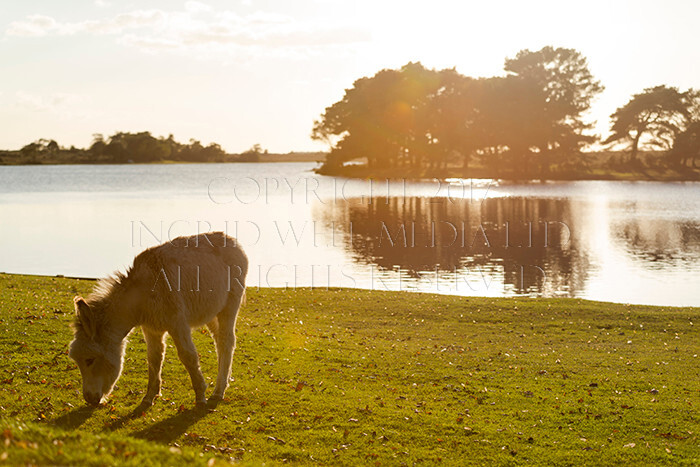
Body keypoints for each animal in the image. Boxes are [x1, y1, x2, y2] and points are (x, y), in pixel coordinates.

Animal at [68, 232, 247, 408]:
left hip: (230, 305)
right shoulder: (151, 328)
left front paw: (200, 396)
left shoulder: (177, 322)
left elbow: (188, 356)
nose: (89, 399)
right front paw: (149, 396)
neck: (142, 294)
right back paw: (224, 382)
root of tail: (232, 240)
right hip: (211, 312)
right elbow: (154, 358)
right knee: (219, 341)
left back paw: (218, 391)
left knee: (226, 341)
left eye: (89, 360)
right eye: (77, 360)